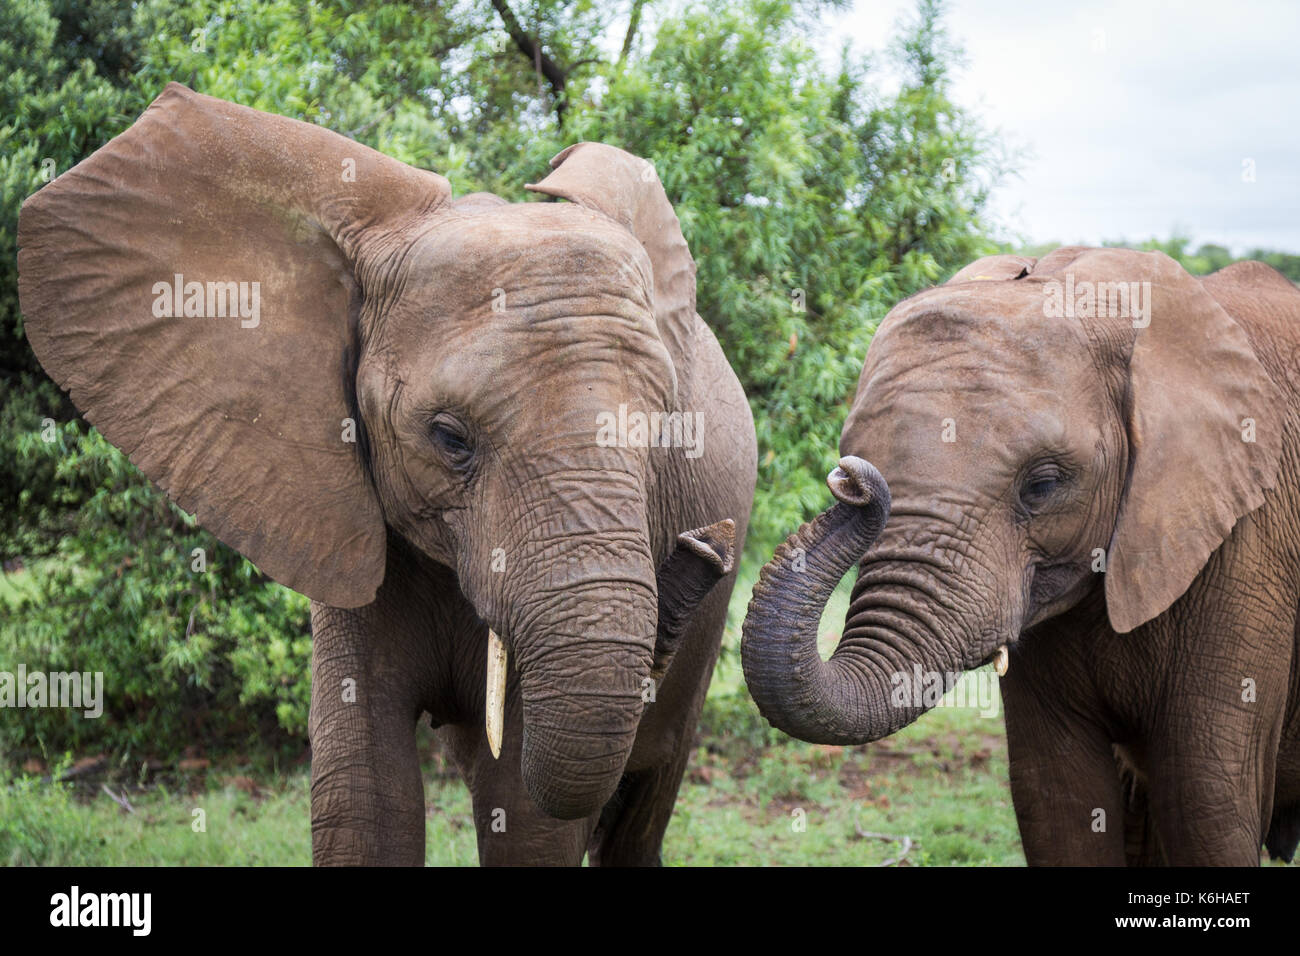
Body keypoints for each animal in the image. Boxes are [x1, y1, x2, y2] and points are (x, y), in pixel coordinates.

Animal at [15, 85, 759, 868]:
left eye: (664, 436)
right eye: (449, 438)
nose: (704, 549)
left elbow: (527, 817)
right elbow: (366, 789)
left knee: (641, 809)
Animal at [743, 247, 1300, 868]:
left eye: (1043, 486)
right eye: (849, 450)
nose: (851, 480)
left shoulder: (1249, 548)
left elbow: (1207, 807)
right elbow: (1058, 801)